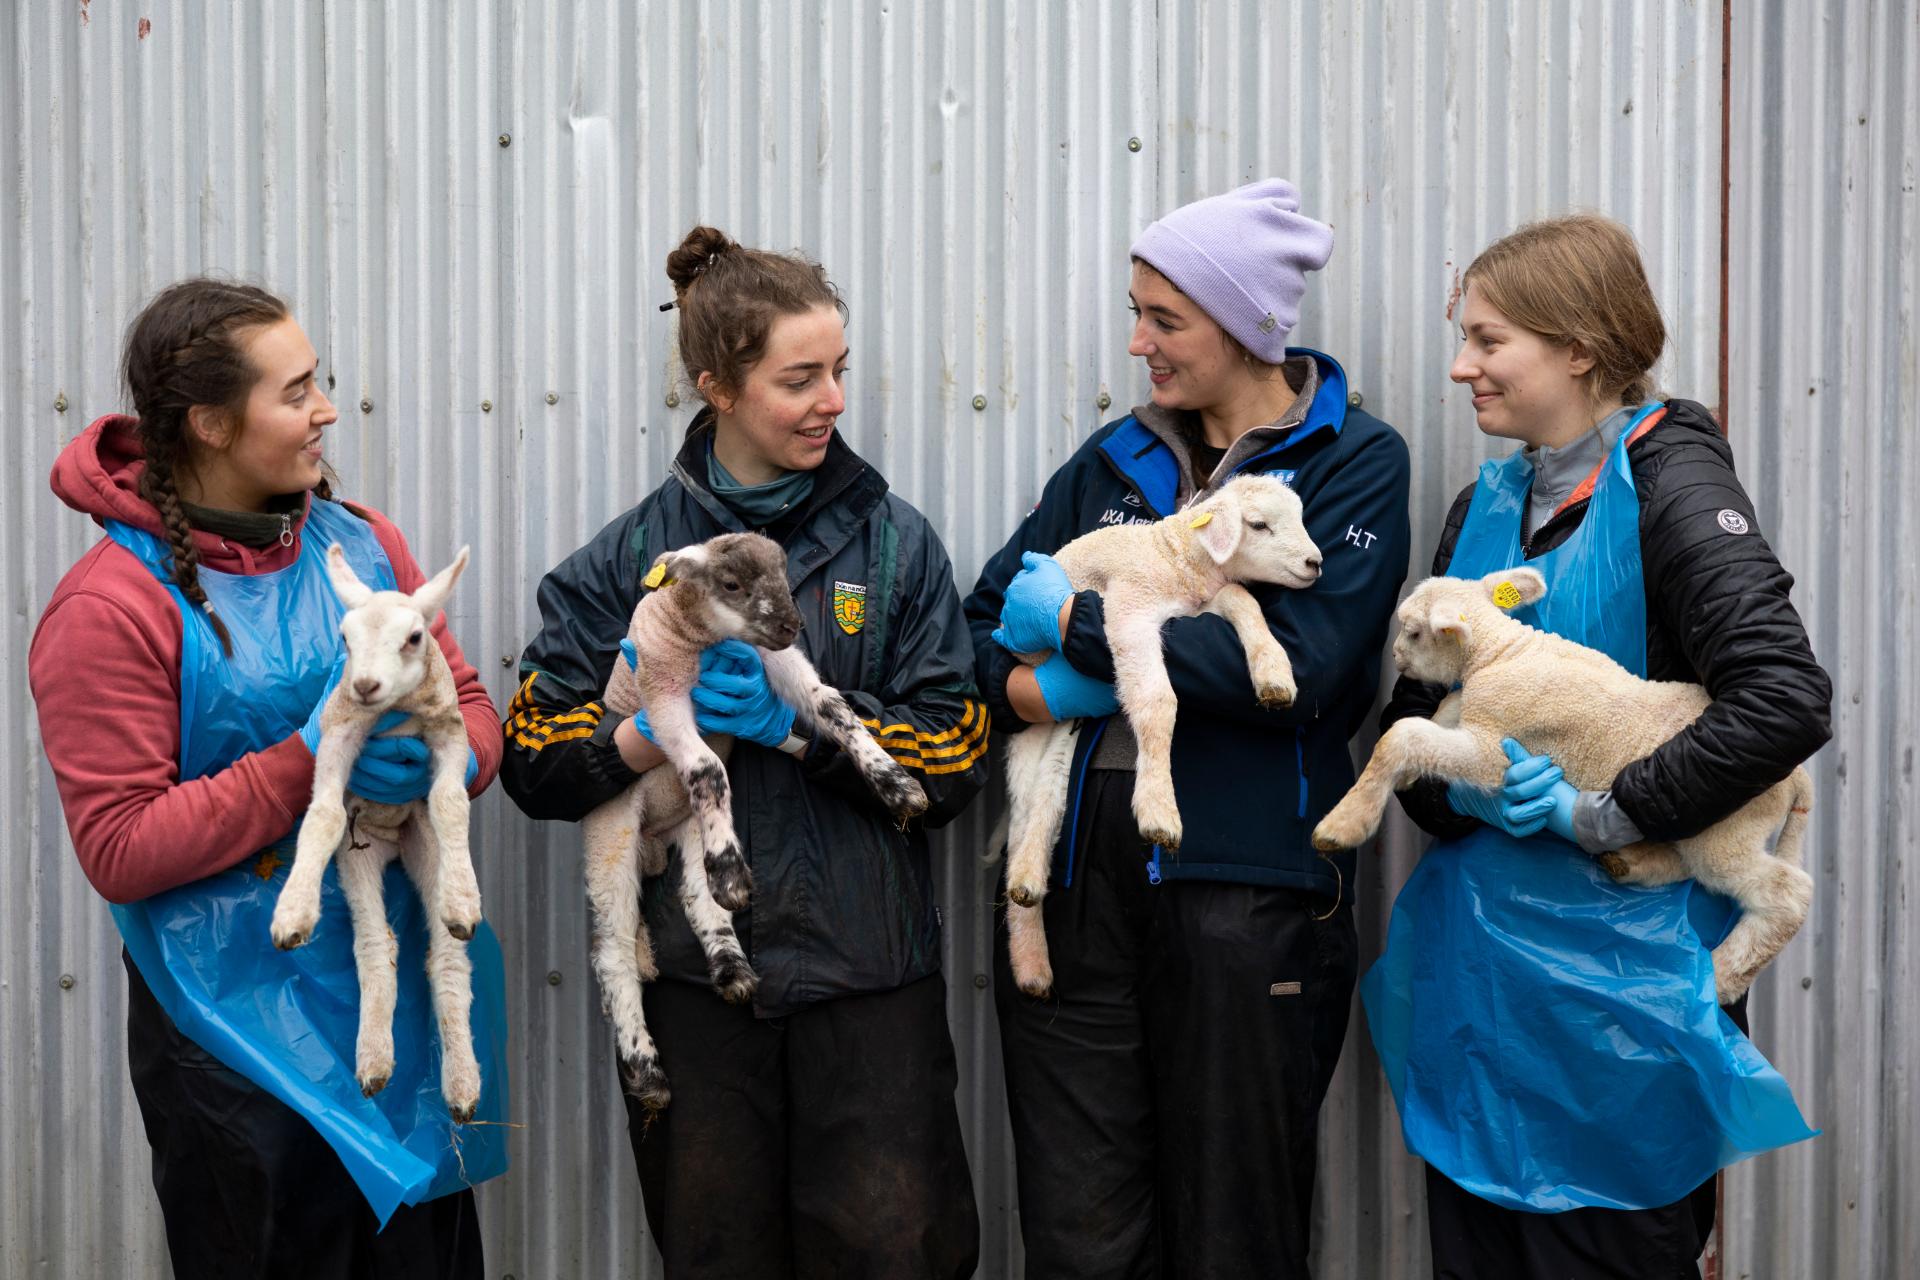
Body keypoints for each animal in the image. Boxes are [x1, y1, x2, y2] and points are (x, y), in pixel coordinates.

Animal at [266, 545, 483, 1113]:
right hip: (356, 854)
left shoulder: (449, 733)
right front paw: (292, 912)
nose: (364, 684)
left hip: (426, 843)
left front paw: (463, 900)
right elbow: (322, 814)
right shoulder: (339, 734)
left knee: (448, 960)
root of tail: (392, 840)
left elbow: (450, 801)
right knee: (374, 944)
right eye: (344, 637)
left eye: (415, 637)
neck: (396, 712)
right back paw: (375, 1062)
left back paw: (461, 1086)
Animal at [579, 529, 933, 1113]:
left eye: (782, 575)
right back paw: (647, 1070)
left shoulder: (774, 663)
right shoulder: (663, 696)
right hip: (610, 834)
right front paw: (735, 871)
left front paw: (897, 784)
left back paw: (733, 962)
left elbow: (833, 707)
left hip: (688, 825)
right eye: (729, 584)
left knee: (700, 899)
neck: (706, 638)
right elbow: (708, 767)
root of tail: (654, 835)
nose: (793, 626)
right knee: (614, 953)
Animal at [1006, 474, 1320, 997]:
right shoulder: (1130, 610)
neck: (1177, 557)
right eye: (1258, 525)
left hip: (1062, 729)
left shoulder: (1201, 605)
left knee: (1049, 795)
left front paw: (1274, 673)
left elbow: (1243, 600)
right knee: (1024, 810)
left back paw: (1030, 913)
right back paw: (1026, 933)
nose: (1316, 563)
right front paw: (1159, 812)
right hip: (1031, 725)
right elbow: (1157, 701)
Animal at [1313, 564, 1820, 1005]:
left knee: (1787, 894)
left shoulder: (1495, 749)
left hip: (1728, 829)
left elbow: (1405, 736)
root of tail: (1798, 778)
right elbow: (1442, 712)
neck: (1500, 654)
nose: (1397, 657)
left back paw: (1720, 977)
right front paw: (1414, 769)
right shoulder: (1478, 712)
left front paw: (1343, 823)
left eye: (1415, 632)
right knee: (1686, 864)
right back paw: (1630, 864)